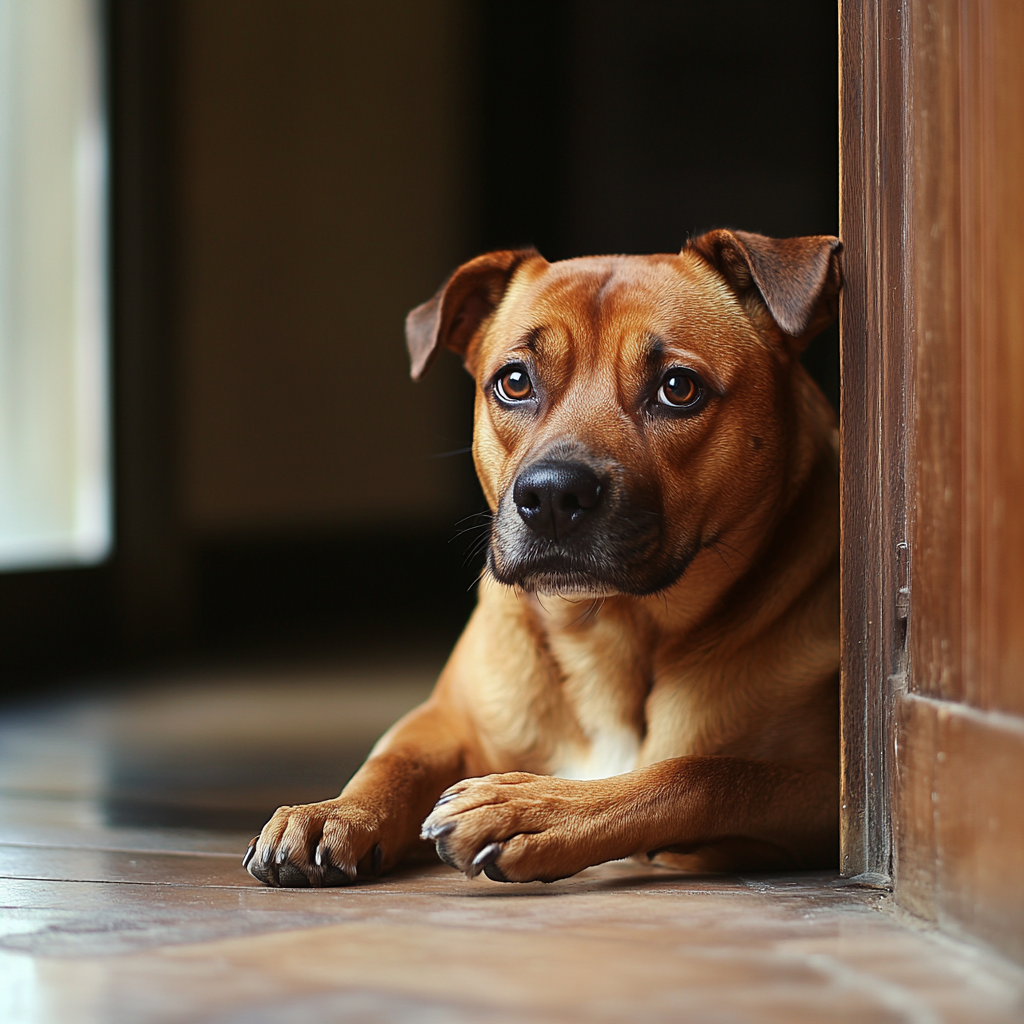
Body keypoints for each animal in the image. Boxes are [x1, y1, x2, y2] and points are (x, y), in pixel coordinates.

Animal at [243, 228, 843, 884]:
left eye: (678, 389)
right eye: (514, 382)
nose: (552, 495)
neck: (611, 630)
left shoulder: (830, 794)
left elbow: (707, 773)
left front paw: (531, 808)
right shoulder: (443, 719)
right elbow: (392, 760)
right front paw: (334, 811)